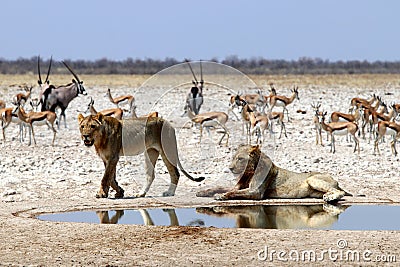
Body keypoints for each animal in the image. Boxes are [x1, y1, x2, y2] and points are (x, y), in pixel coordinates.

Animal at [77, 113, 205, 199]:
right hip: (150, 152)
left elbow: (105, 177)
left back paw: (169, 192)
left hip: (167, 151)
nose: (85, 136)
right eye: (83, 126)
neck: (99, 140)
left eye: (92, 126)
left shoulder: (113, 157)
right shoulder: (107, 159)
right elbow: (111, 178)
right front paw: (119, 192)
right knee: (151, 175)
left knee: (175, 173)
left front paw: (102, 194)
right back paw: (141, 193)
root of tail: (168, 123)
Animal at [197, 146, 350, 202]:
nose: (230, 168)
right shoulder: (240, 186)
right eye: (233, 158)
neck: (249, 172)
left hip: (312, 179)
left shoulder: (256, 192)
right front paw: (202, 192)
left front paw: (221, 196)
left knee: (339, 192)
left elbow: (233, 192)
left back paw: (330, 198)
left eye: (240, 159)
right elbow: (221, 187)